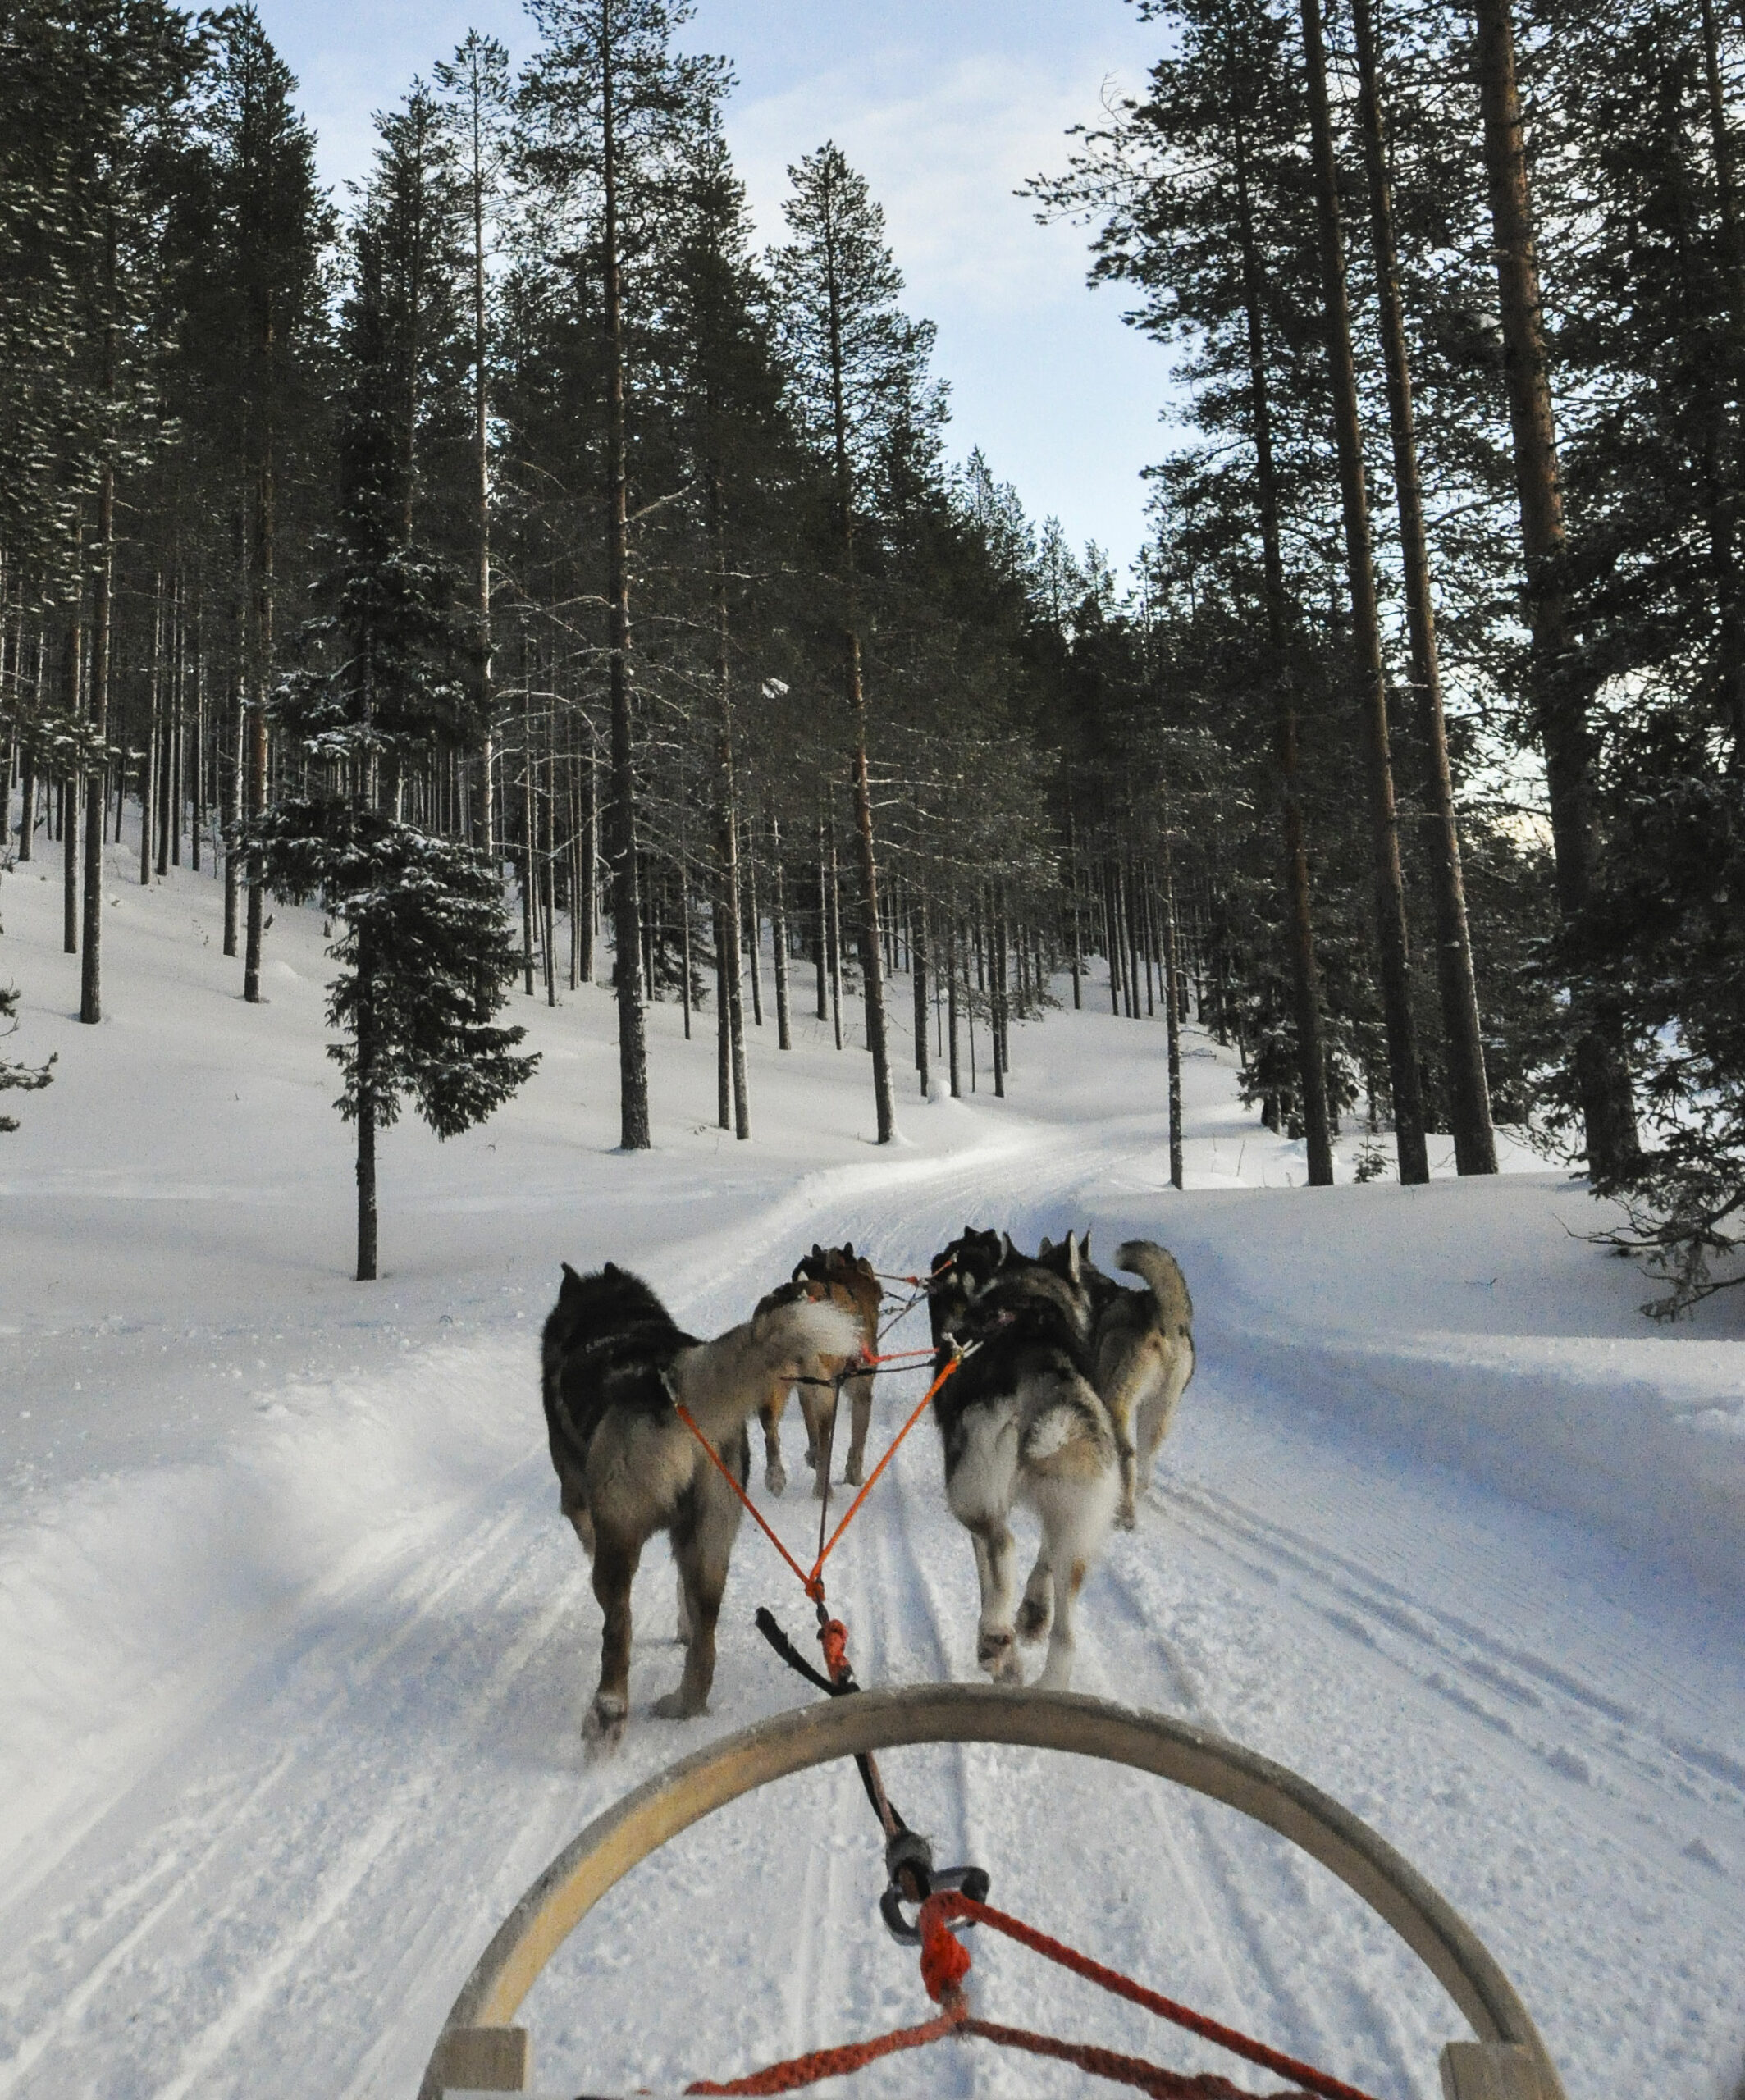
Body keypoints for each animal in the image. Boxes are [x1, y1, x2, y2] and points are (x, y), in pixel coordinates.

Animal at [535, 1260, 857, 1738]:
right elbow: (681, 1595)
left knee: (618, 1630)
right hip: (711, 1540)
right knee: (705, 1644)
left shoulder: (579, 1508)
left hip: (618, 1545)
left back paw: (607, 1716)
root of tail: (666, 1386)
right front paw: (682, 1627)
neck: (612, 1315)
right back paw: (684, 1703)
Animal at [756, 1235, 882, 1503]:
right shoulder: (861, 1391)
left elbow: (810, 1428)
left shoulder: (805, 1389)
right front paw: (854, 1477)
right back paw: (823, 1489)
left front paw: (811, 1456)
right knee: (826, 1444)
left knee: (771, 1432)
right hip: (827, 1394)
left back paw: (775, 1477)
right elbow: (858, 1441)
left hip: (774, 1387)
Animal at [928, 1226, 1117, 1688]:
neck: (1029, 1295)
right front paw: (1030, 1620)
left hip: (968, 1492)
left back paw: (994, 1637)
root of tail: (1042, 1370)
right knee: (1065, 1635)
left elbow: (987, 1574)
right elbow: (1042, 1565)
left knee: (1003, 1544)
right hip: (1077, 1525)